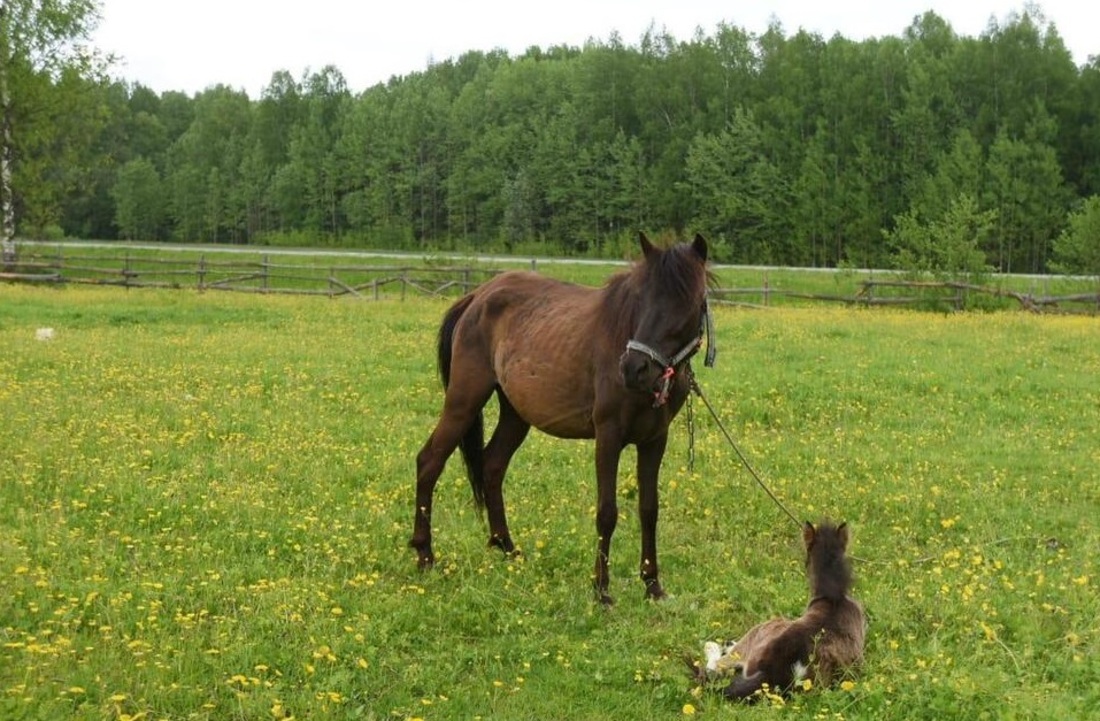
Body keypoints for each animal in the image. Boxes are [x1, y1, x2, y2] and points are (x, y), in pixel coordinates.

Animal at [411, 232, 712, 603]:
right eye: (641, 297)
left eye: (689, 303)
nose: (634, 369)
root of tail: (477, 297)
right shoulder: (608, 435)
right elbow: (607, 512)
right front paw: (601, 590)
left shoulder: (655, 439)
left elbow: (649, 509)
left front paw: (652, 584)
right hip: (464, 401)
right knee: (430, 461)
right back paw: (425, 555)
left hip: (515, 414)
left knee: (492, 465)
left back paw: (507, 548)